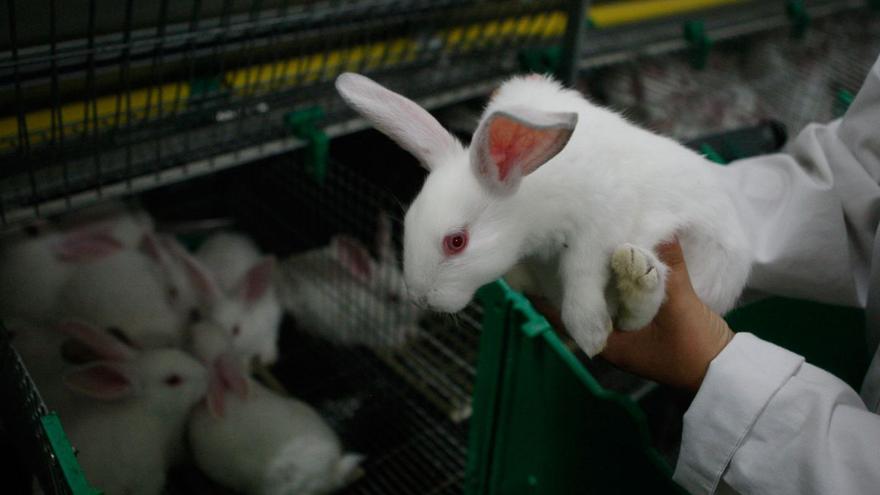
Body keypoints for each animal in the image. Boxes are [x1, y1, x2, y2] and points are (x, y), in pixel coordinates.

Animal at [276, 212, 424, 348]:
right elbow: (389, 339)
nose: (418, 311)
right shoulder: (368, 333)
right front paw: (402, 338)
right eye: (393, 298)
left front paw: (414, 332)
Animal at [336, 72, 748, 356]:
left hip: (705, 266)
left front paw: (591, 333)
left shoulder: (601, 223)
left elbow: (582, 271)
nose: (420, 299)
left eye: (456, 242)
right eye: (407, 224)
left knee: (642, 313)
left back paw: (636, 273)